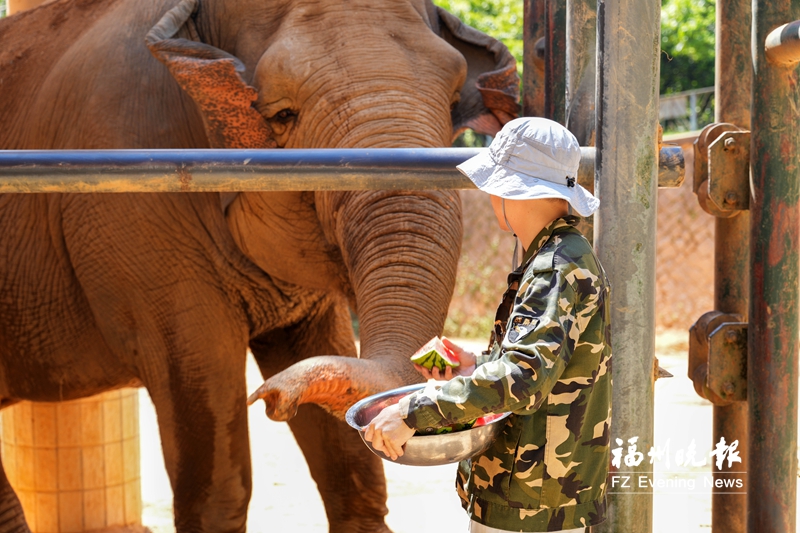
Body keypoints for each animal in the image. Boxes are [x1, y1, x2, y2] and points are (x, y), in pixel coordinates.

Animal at [0, 0, 520, 528]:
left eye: (454, 97)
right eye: (282, 115)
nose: (269, 398)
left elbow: (350, 462)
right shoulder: (132, 222)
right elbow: (213, 468)